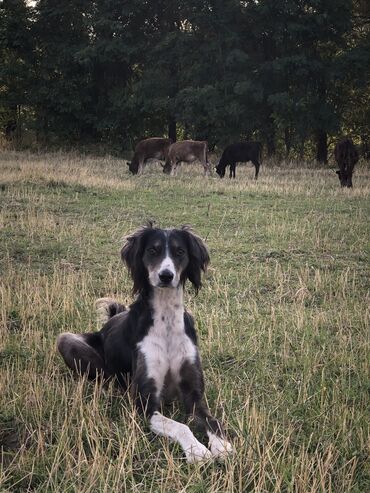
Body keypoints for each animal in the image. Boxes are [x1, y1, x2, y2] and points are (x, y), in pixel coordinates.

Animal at [56, 223, 233, 462]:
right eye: (152, 250)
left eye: (179, 251)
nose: (166, 276)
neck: (166, 319)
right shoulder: (146, 404)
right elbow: (180, 426)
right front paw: (197, 451)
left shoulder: (194, 395)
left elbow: (212, 419)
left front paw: (221, 446)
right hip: (66, 340)